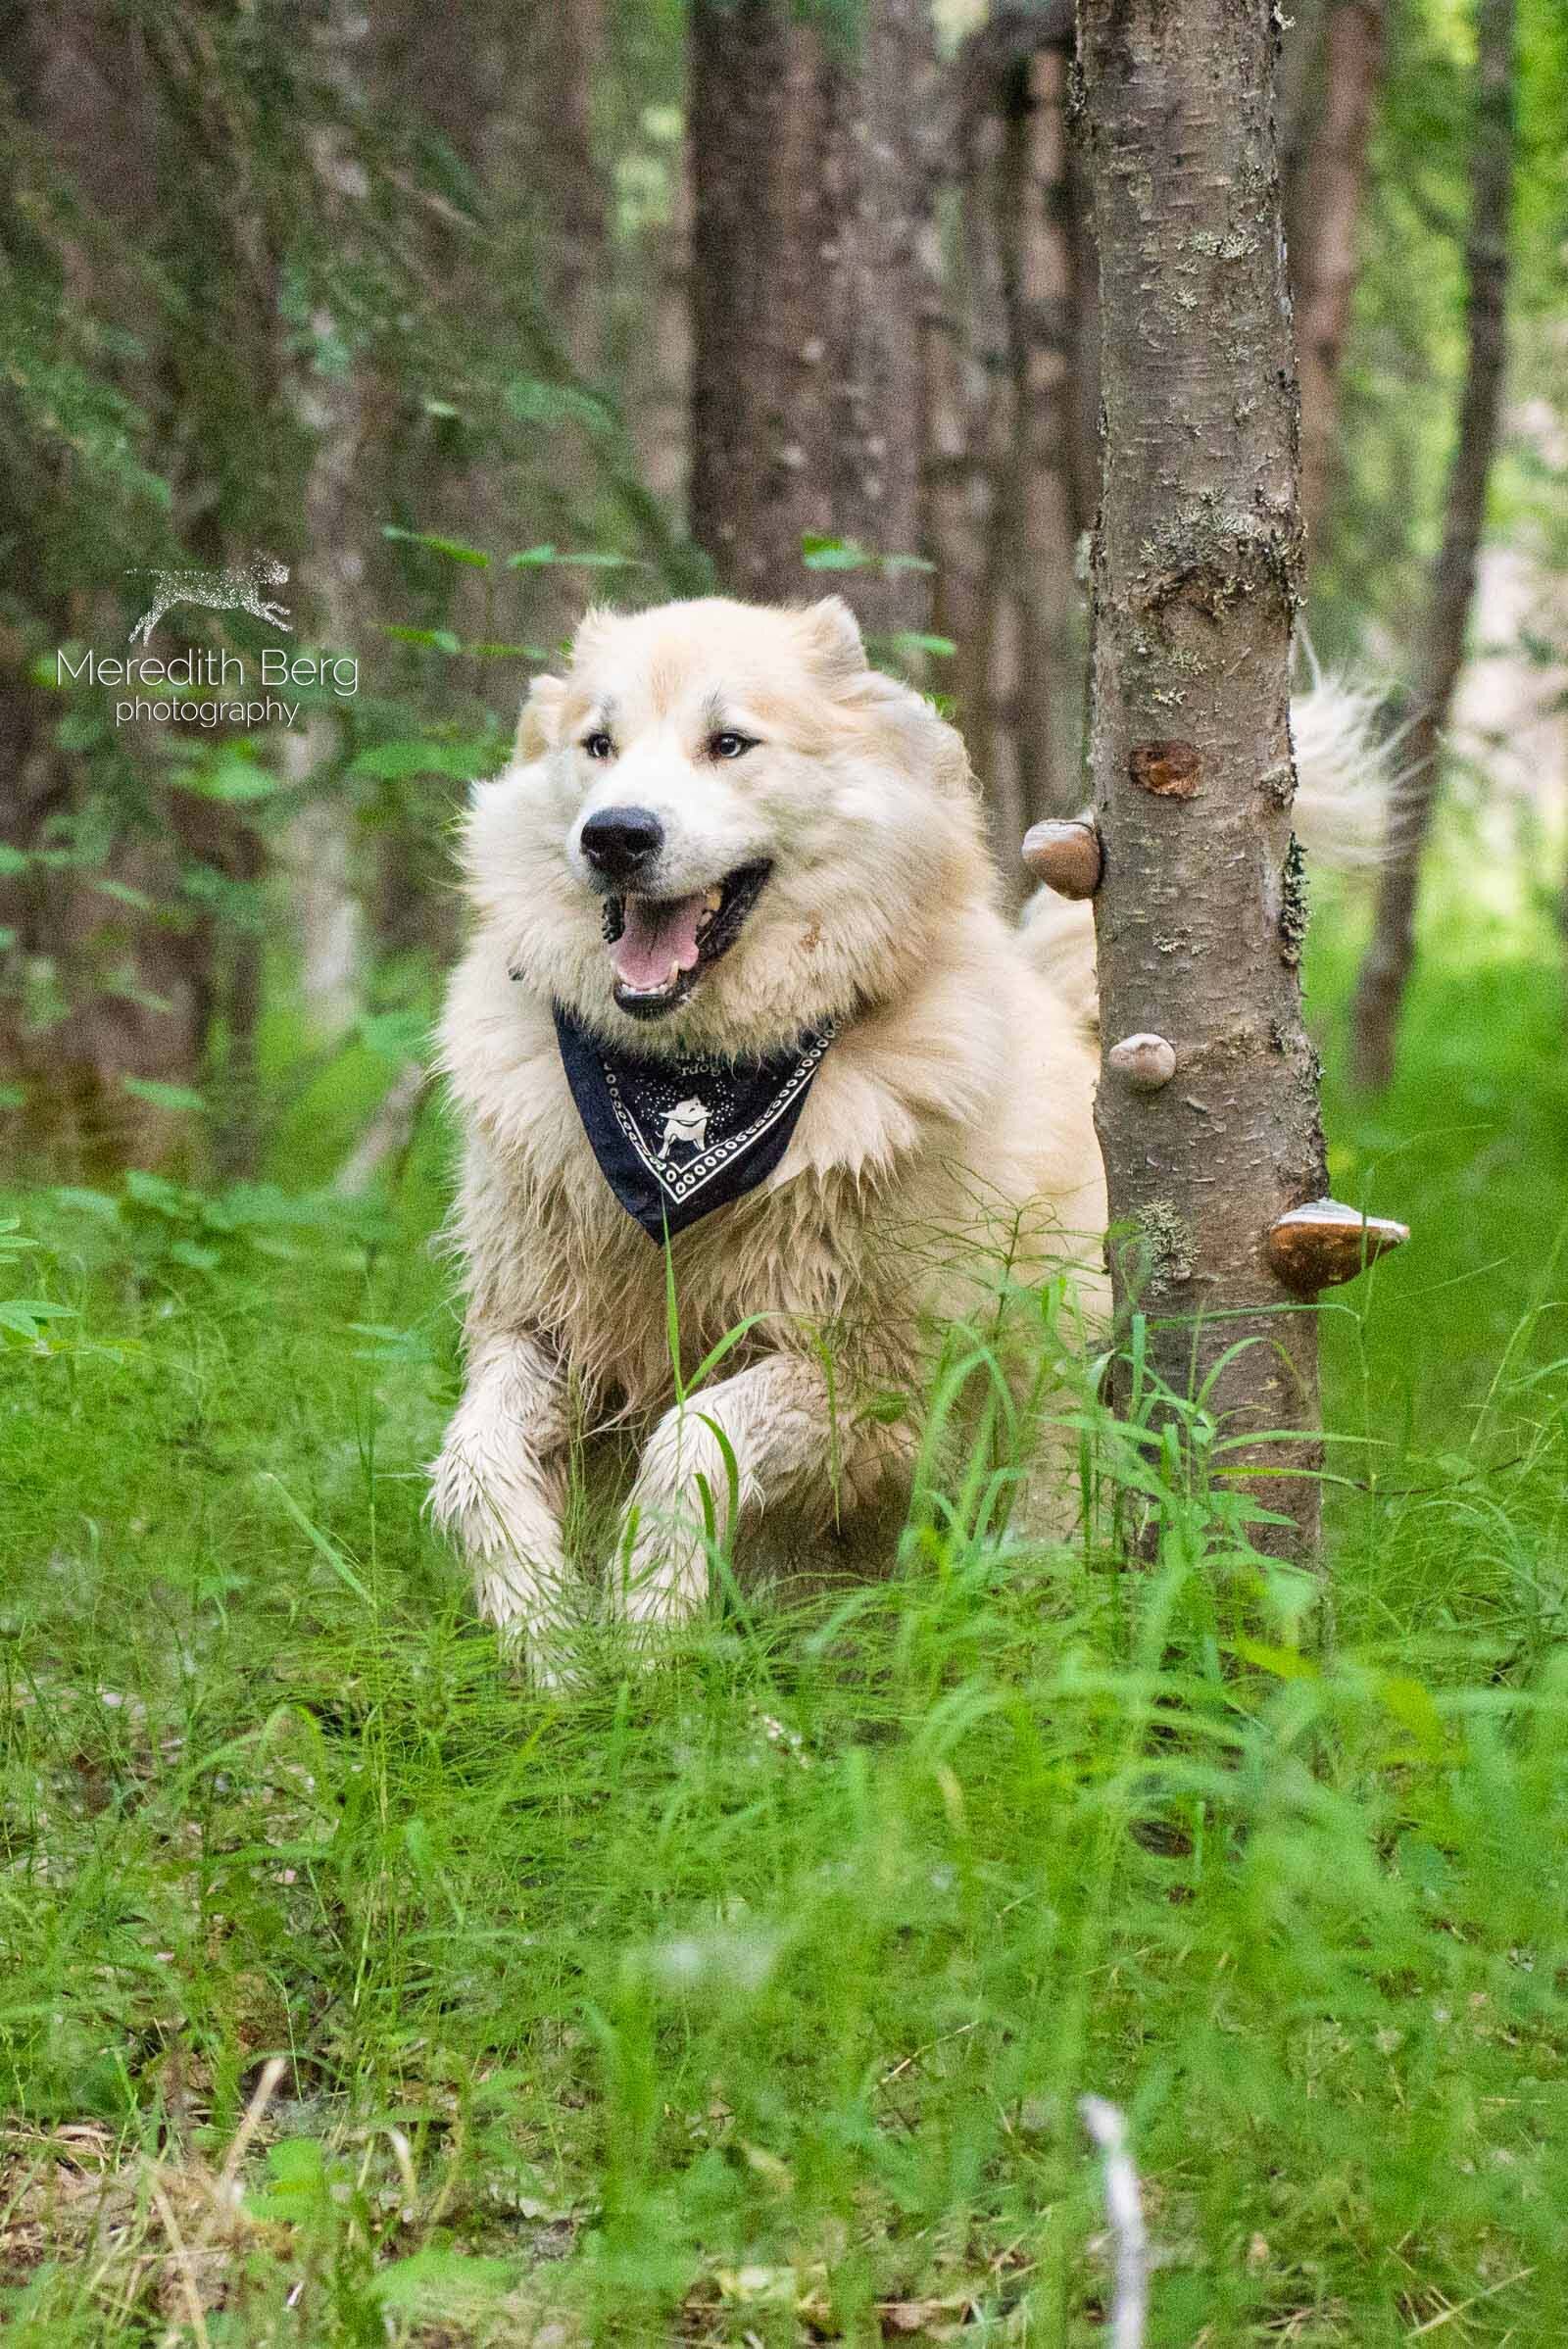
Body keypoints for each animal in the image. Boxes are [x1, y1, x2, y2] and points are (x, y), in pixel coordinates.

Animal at [434, 596, 1361, 1682]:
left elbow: (691, 1440)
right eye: (597, 745)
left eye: (729, 743)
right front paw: (543, 1635)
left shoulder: (875, 1374)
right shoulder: (540, 1328)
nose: (615, 835)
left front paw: (650, 1630)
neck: (693, 1091)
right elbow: (472, 1462)